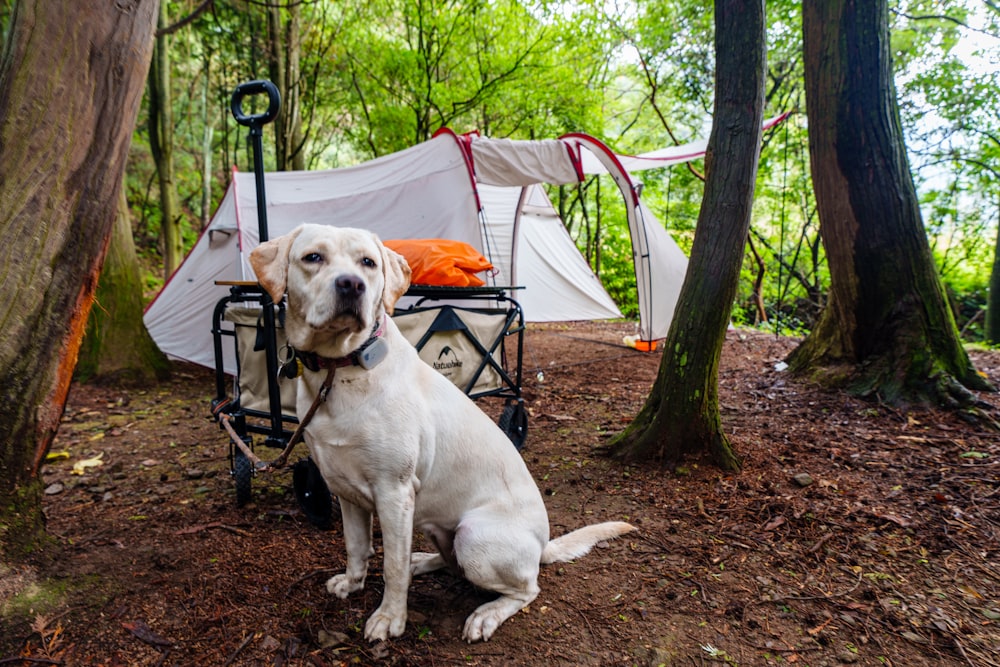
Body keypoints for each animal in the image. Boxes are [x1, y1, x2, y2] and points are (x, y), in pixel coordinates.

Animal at [254, 227, 636, 644]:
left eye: (367, 263)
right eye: (313, 257)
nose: (352, 285)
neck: (339, 370)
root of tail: (541, 546)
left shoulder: (394, 493)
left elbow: (391, 567)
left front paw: (390, 618)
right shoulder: (345, 490)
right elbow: (356, 548)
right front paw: (352, 584)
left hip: (474, 536)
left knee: (526, 588)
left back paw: (487, 614)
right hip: (439, 529)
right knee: (446, 562)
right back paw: (423, 561)